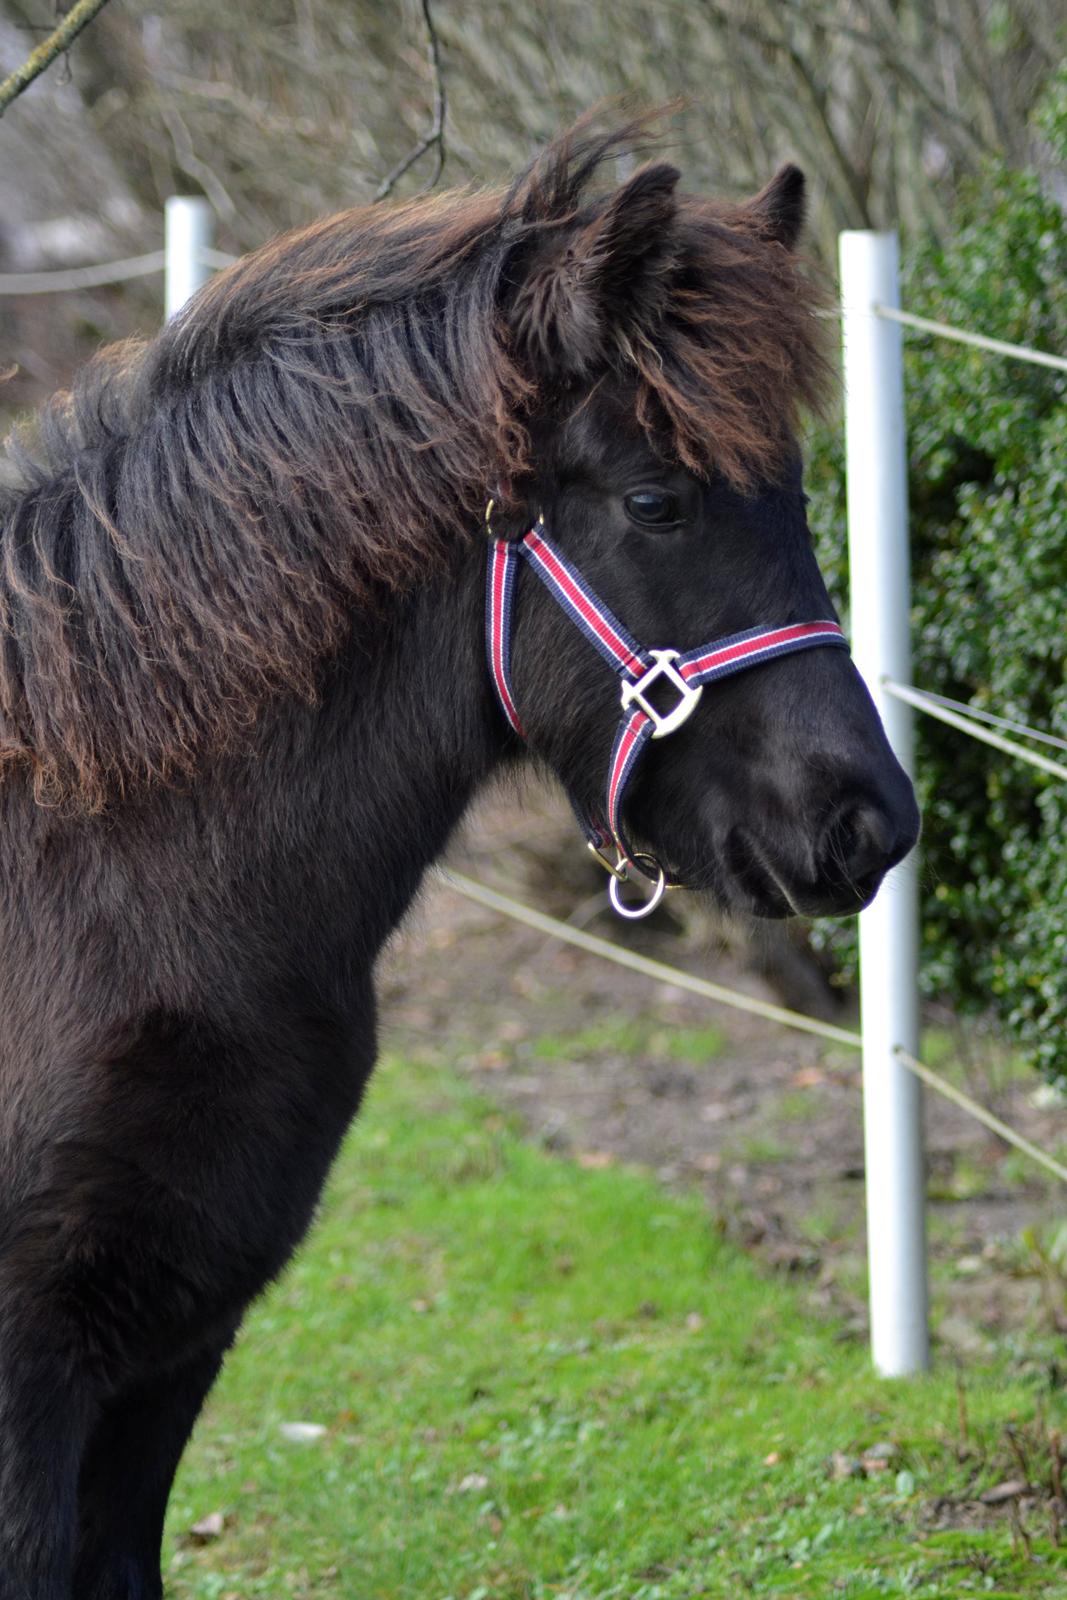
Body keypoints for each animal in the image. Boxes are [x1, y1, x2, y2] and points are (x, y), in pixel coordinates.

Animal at [0, 118, 921, 1593]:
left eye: (788, 488)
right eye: (655, 500)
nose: (867, 821)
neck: (101, 881)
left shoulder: (171, 1352)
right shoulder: (34, 1371)